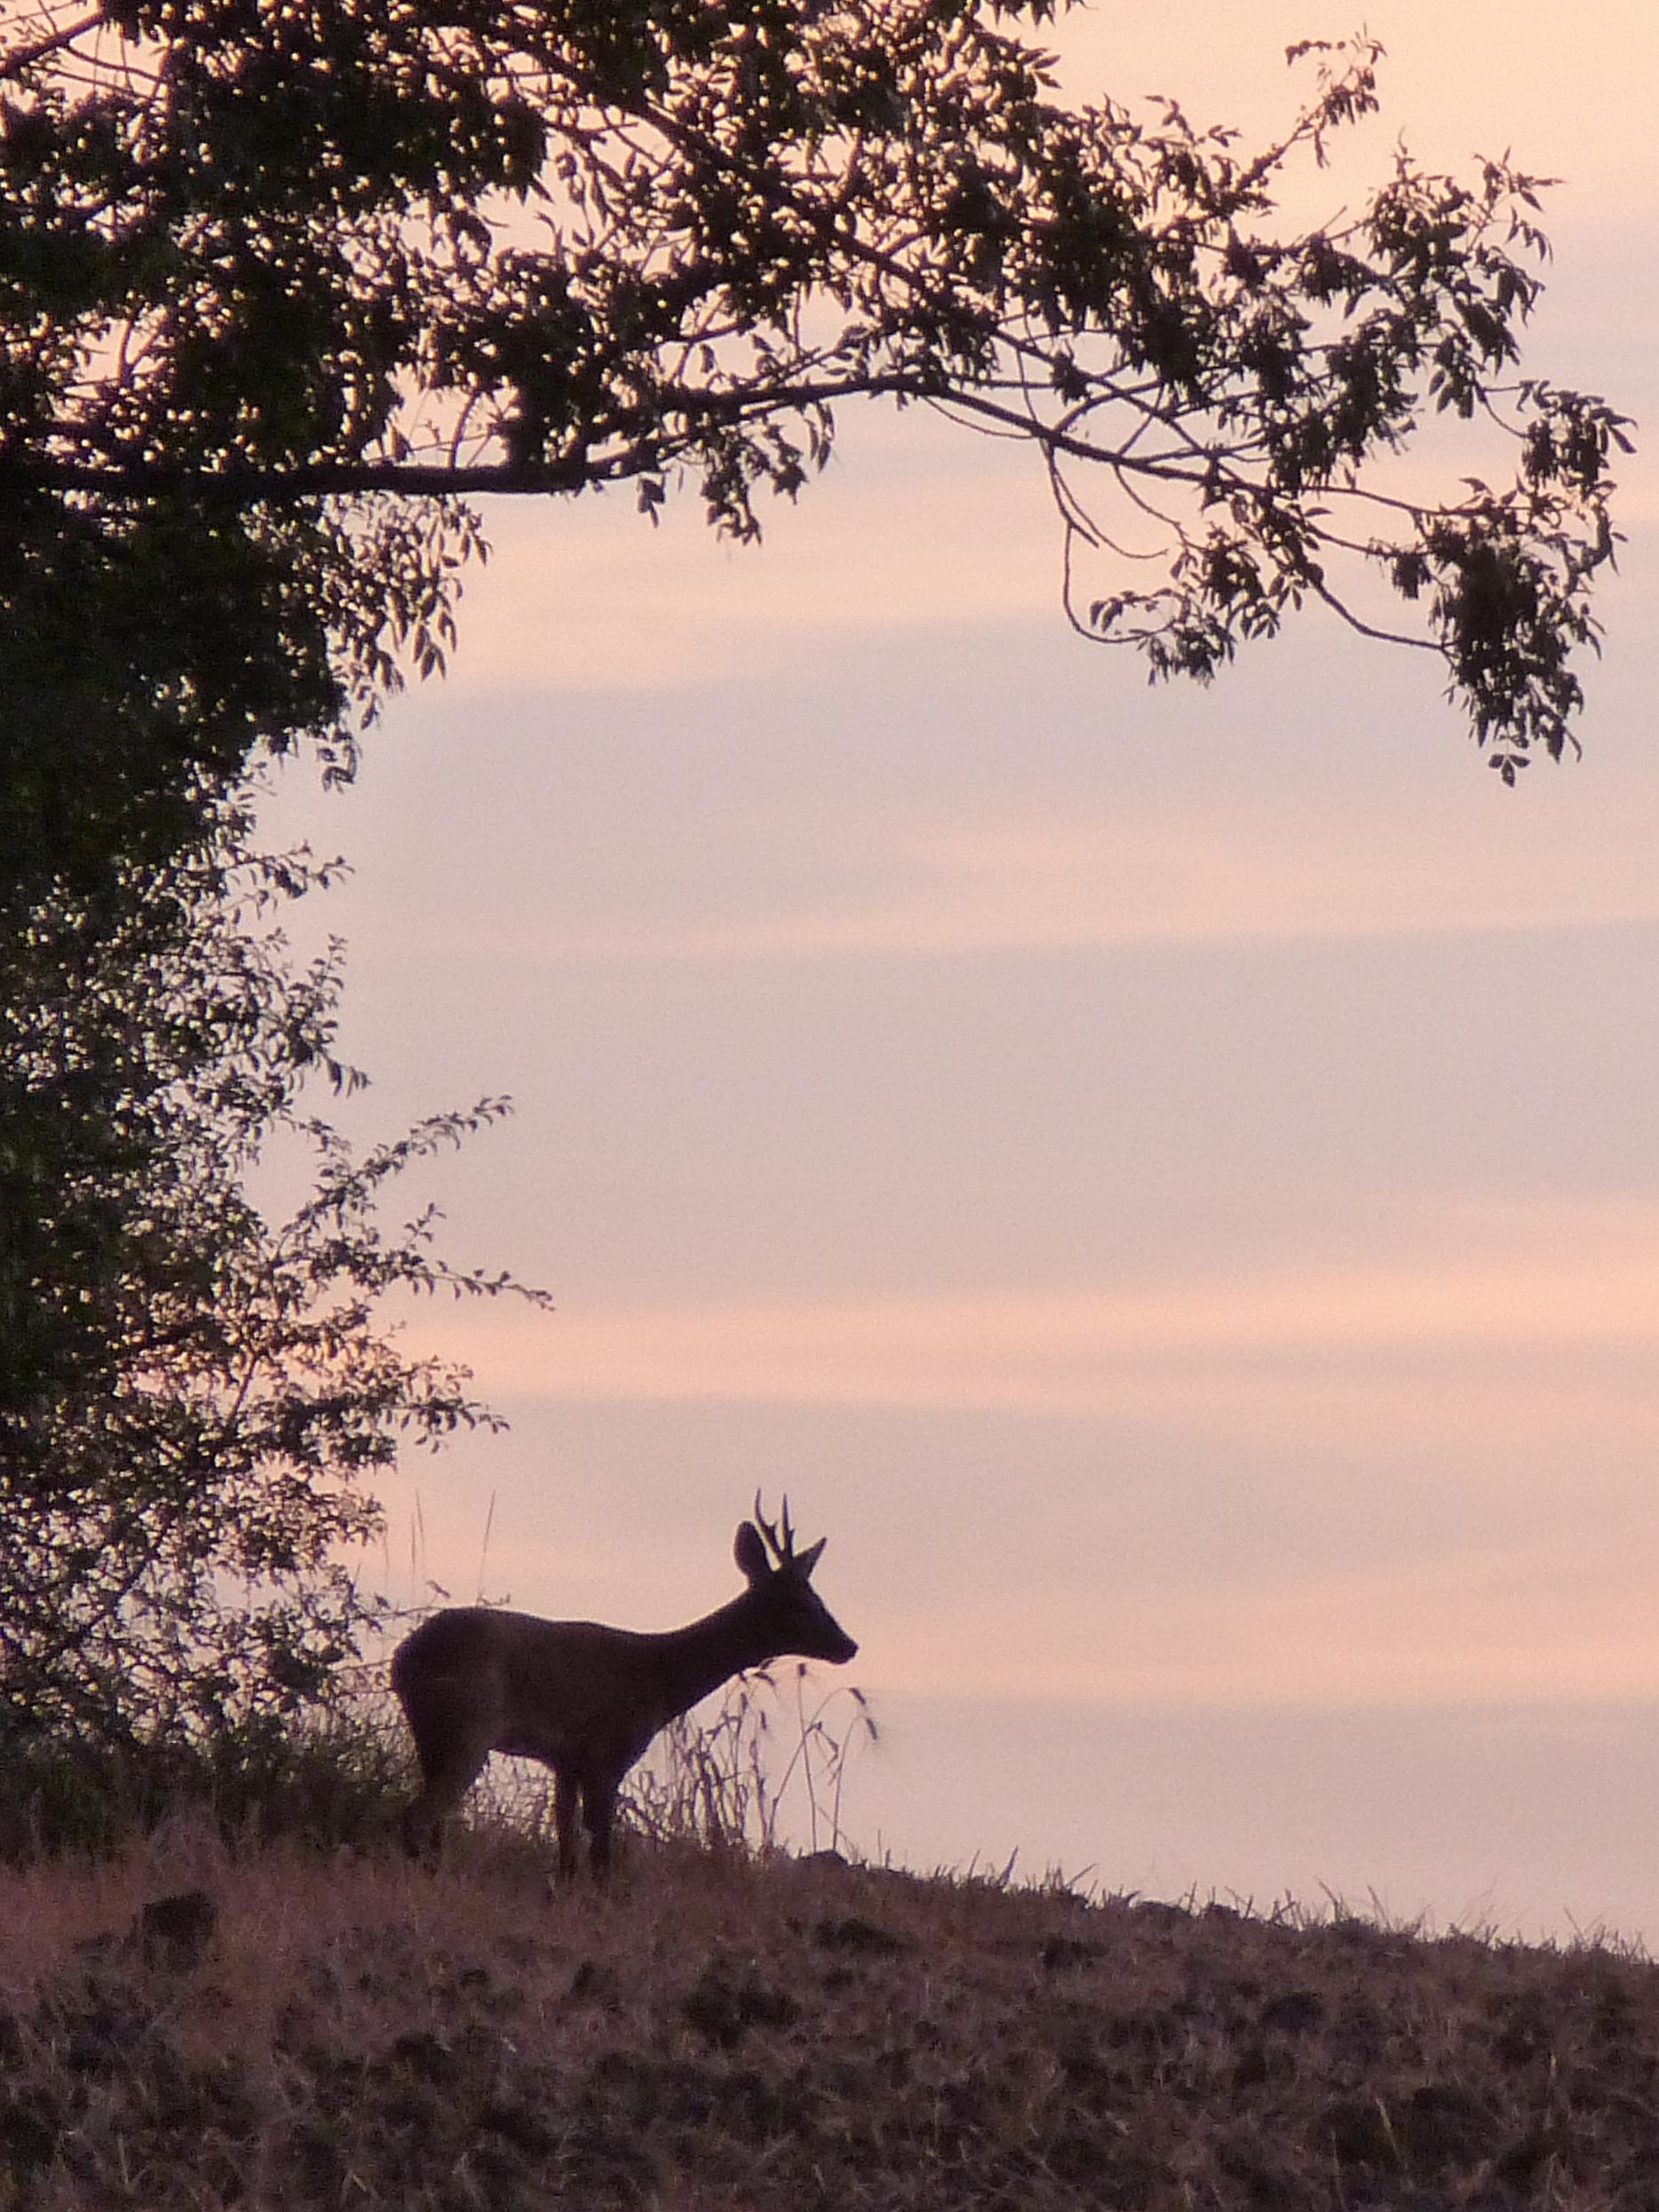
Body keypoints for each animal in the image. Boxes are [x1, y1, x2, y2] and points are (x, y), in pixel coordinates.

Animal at [390, 1496, 858, 1878]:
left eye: (817, 1597)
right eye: (798, 1603)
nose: (849, 1646)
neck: (659, 1680)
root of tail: (406, 1657)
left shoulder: (567, 1762)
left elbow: (566, 1849)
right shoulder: (609, 1752)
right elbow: (601, 1853)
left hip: (432, 1736)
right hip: (470, 1727)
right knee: (415, 1816)